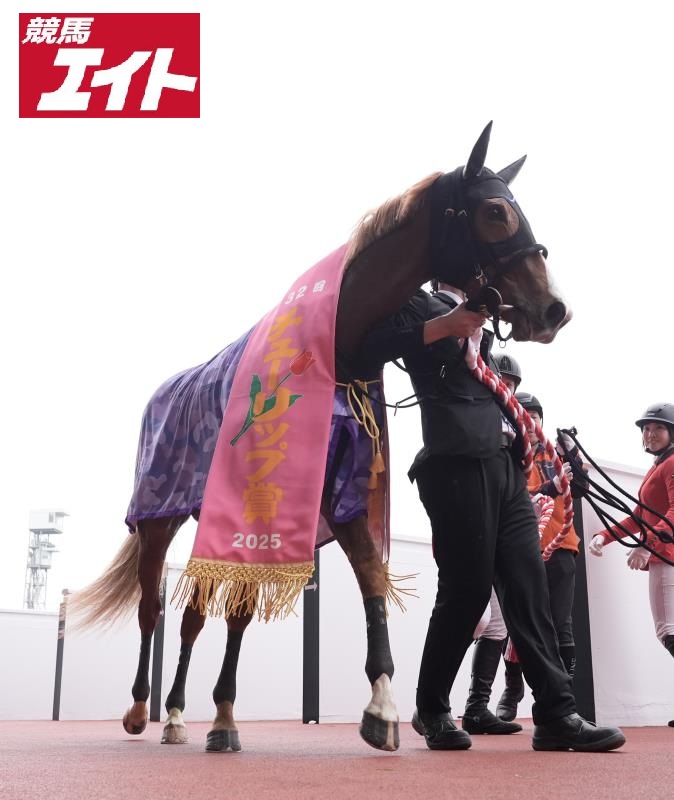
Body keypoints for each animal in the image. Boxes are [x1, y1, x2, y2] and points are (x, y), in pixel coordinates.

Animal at [67, 122, 570, 753]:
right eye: (497, 211)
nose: (553, 309)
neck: (332, 346)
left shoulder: (337, 489)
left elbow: (358, 578)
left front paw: (377, 709)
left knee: (197, 614)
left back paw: (183, 716)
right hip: (160, 516)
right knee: (153, 607)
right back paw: (141, 710)